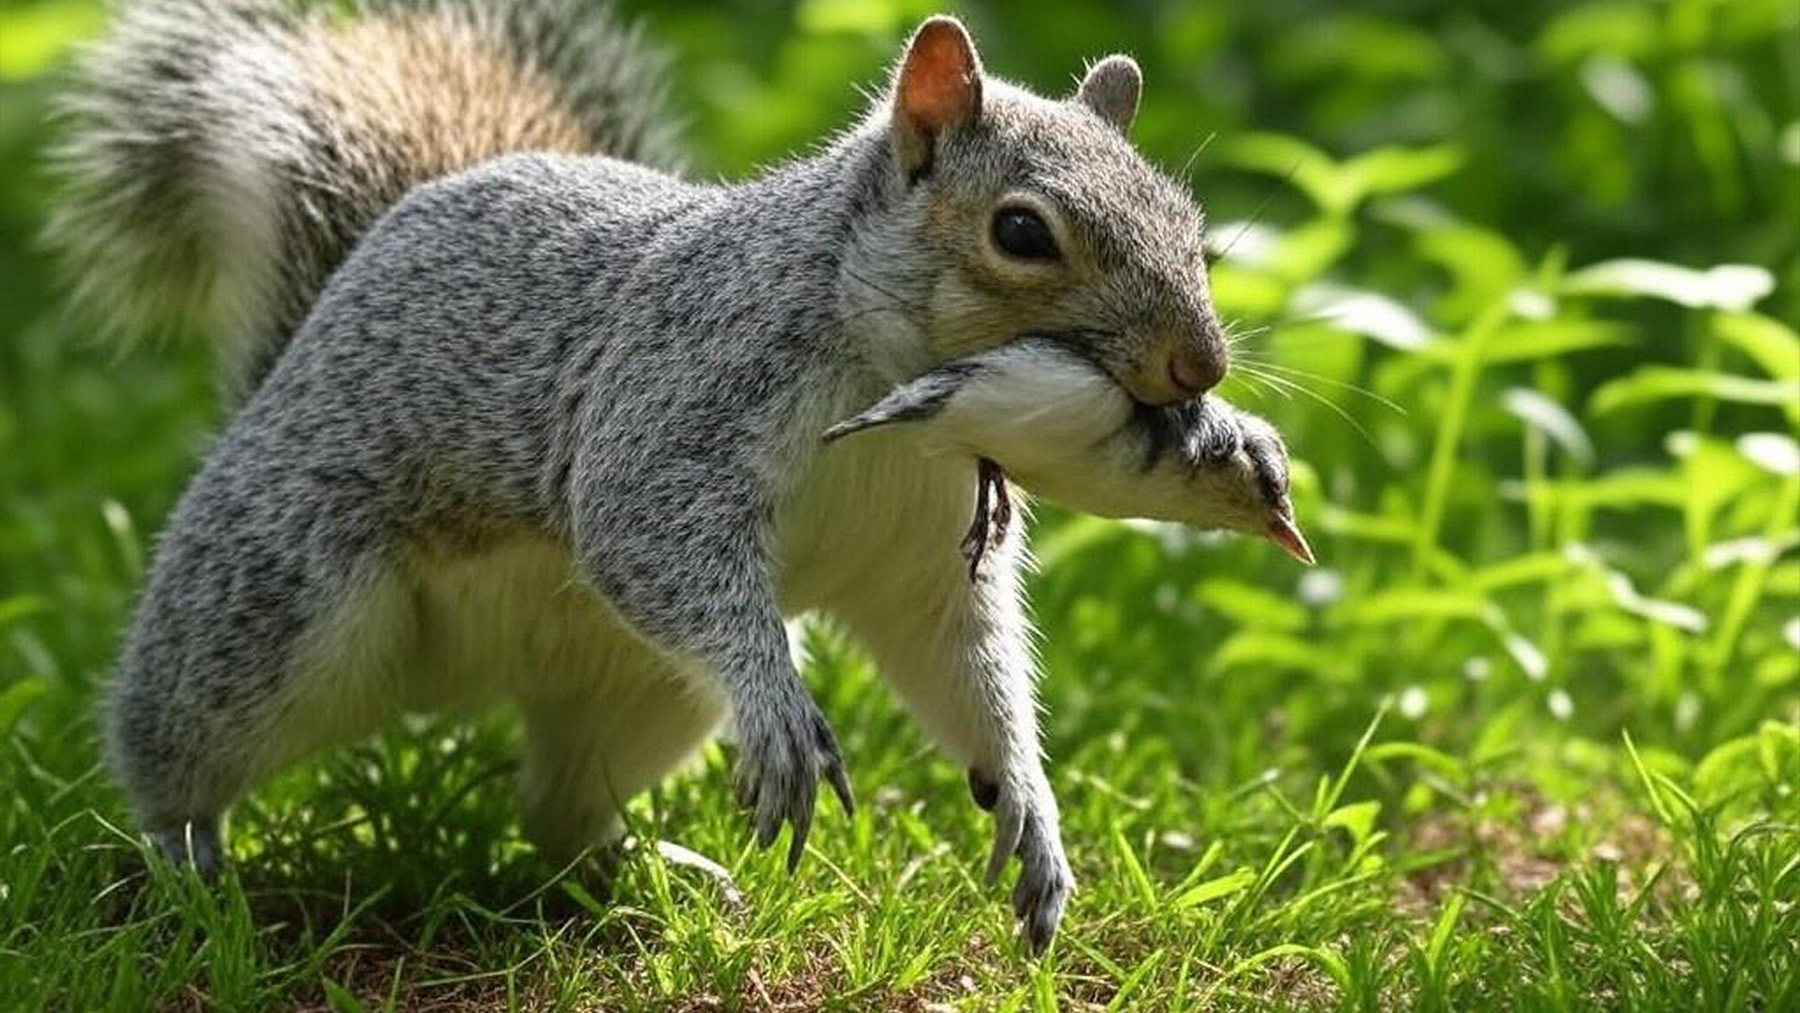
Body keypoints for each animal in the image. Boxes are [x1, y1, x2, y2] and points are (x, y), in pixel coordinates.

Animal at [49, 0, 1296, 957]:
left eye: (1190, 223)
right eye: (1023, 231)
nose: (1200, 367)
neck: (895, 405)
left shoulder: (925, 552)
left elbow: (961, 660)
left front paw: (1030, 806)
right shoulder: (677, 401)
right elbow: (643, 529)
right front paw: (782, 709)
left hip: (640, 691)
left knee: (559, 813)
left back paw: (652, 871)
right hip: (279, 602)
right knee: (180, 743)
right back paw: (185, 863)